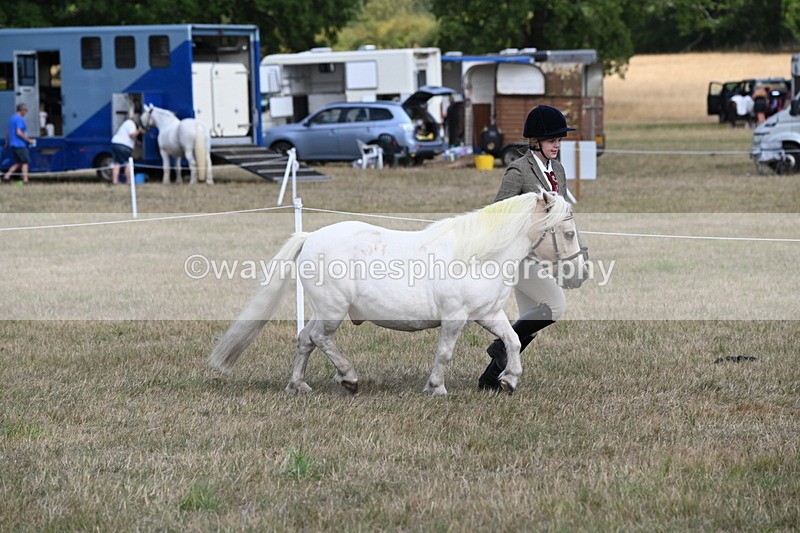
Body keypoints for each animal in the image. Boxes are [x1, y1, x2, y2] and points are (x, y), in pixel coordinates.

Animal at [208, 191, 585, 396]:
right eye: (567, 233)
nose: (579, 275)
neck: (479, 255)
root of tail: (311, 237)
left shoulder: (488, 314)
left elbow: (512, 341)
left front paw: (509, 381)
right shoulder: (455, 318)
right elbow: (445, 353)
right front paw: (436, 387)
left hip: (323, 309)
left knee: (305, 339)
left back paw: (297, 385)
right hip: (332, 310)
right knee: (320, 338)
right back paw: (349, 378)